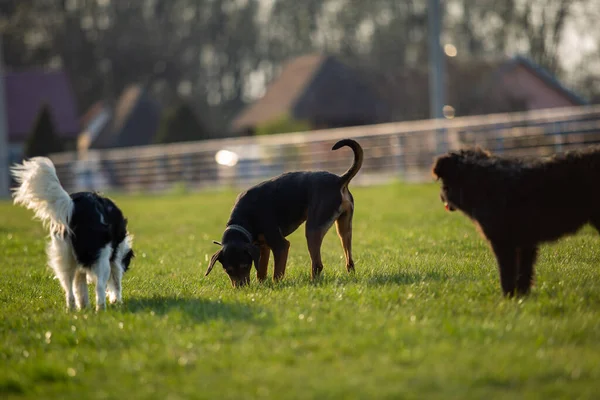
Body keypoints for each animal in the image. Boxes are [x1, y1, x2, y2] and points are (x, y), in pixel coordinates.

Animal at [11, 158, 134, 310]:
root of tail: (72, 206)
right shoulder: (115, 259)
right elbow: (116, 283)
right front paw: (116, 300)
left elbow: (80, 288)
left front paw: (84, 307)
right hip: (101, 259)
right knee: (99, 286)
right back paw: (101, 309)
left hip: (64, 257)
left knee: (69, 289)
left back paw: (72, 309)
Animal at [206, 139, 364, 286]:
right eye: (228, 270)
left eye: (245, 266)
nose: (241, 288)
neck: (244, 219)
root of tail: (339, 180)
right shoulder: (262, 247)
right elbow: (261, 271)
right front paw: (261, 285)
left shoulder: (280, 245)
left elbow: (277, 272)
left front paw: (276, 286)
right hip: (343, 228)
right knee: (349, 260)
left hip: (313, 229)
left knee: (317, 264)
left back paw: (312, 282)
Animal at [434, 147, 600, 296]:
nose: (441, 197)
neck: (482, 182)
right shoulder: (525, 243)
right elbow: (524, 272)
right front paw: (521, 296)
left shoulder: (503, 242)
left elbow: (507, 273)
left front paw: (508, 297)